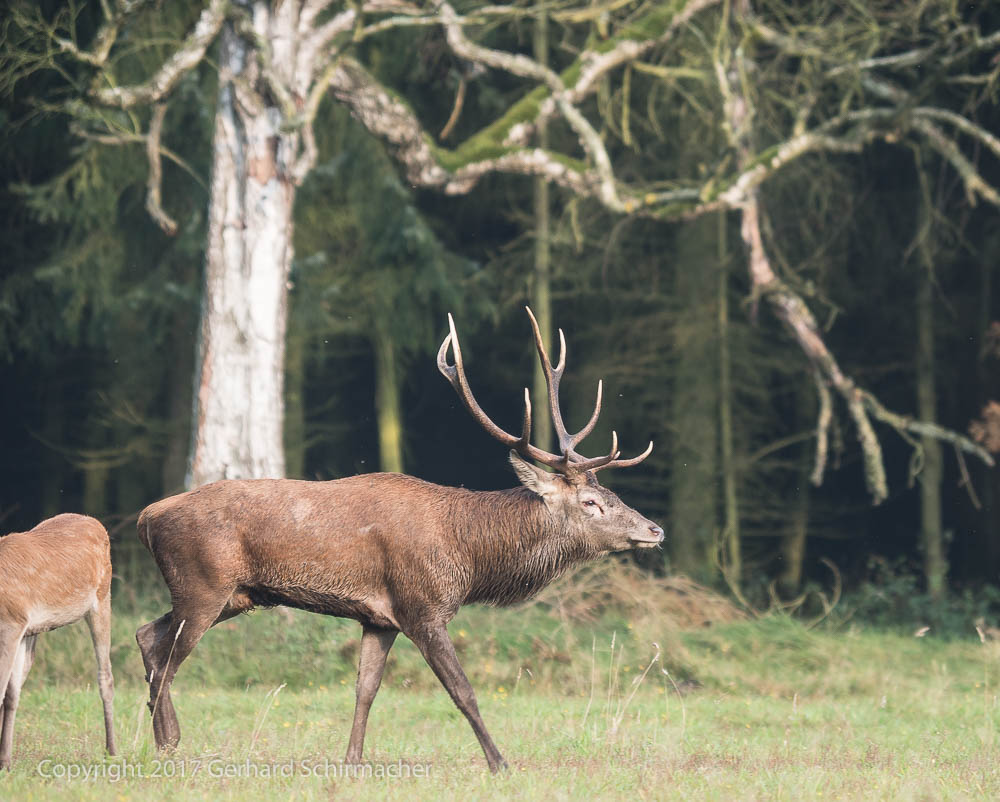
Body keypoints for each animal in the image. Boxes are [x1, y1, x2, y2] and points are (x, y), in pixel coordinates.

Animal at [0, 512, 117, 768]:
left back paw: (112, 751)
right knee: (15, 691)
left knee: (106, 675)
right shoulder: (19, 627)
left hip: (102, 598)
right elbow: (10, 693)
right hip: (31, 633)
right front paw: (5, 762)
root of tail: (95, 521)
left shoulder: (11, 622)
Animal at [135, 306, 664, 768]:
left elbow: (365, 689)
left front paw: (352, 761)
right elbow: (462, 691)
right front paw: (500, 763)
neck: (468, 555)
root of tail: (147, 516)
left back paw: (164, 740)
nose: (654, 529)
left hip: (233, 595)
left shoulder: (380, 618)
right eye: (591, 502)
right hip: (202, 583)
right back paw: (167, 746)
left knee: (146, 634)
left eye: (610, 492)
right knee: (165, 657)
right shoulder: (422, 606)